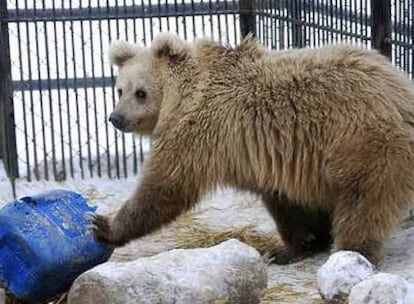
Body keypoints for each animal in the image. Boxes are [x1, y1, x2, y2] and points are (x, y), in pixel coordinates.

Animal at [92, 32, 414, 266]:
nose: (116, 118)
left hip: (362, 142)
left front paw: (103, 225)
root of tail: (402, 89)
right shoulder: (277, 155)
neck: (183, 97)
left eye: (141, 92)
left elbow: (166, 185)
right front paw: (295, 246)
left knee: (364, 202)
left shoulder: (200, 131)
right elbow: (289, 204)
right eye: (119, 89)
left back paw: (353, 251)